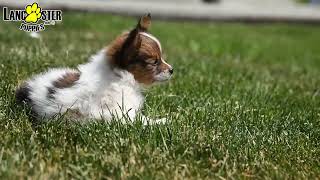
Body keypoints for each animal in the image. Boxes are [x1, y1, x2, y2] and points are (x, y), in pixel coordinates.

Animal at [16, 13, 174, 124]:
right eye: (154, 62)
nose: (172, 70)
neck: (120, 77)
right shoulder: (120, 114)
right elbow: (143, 121)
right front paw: (164, 121)